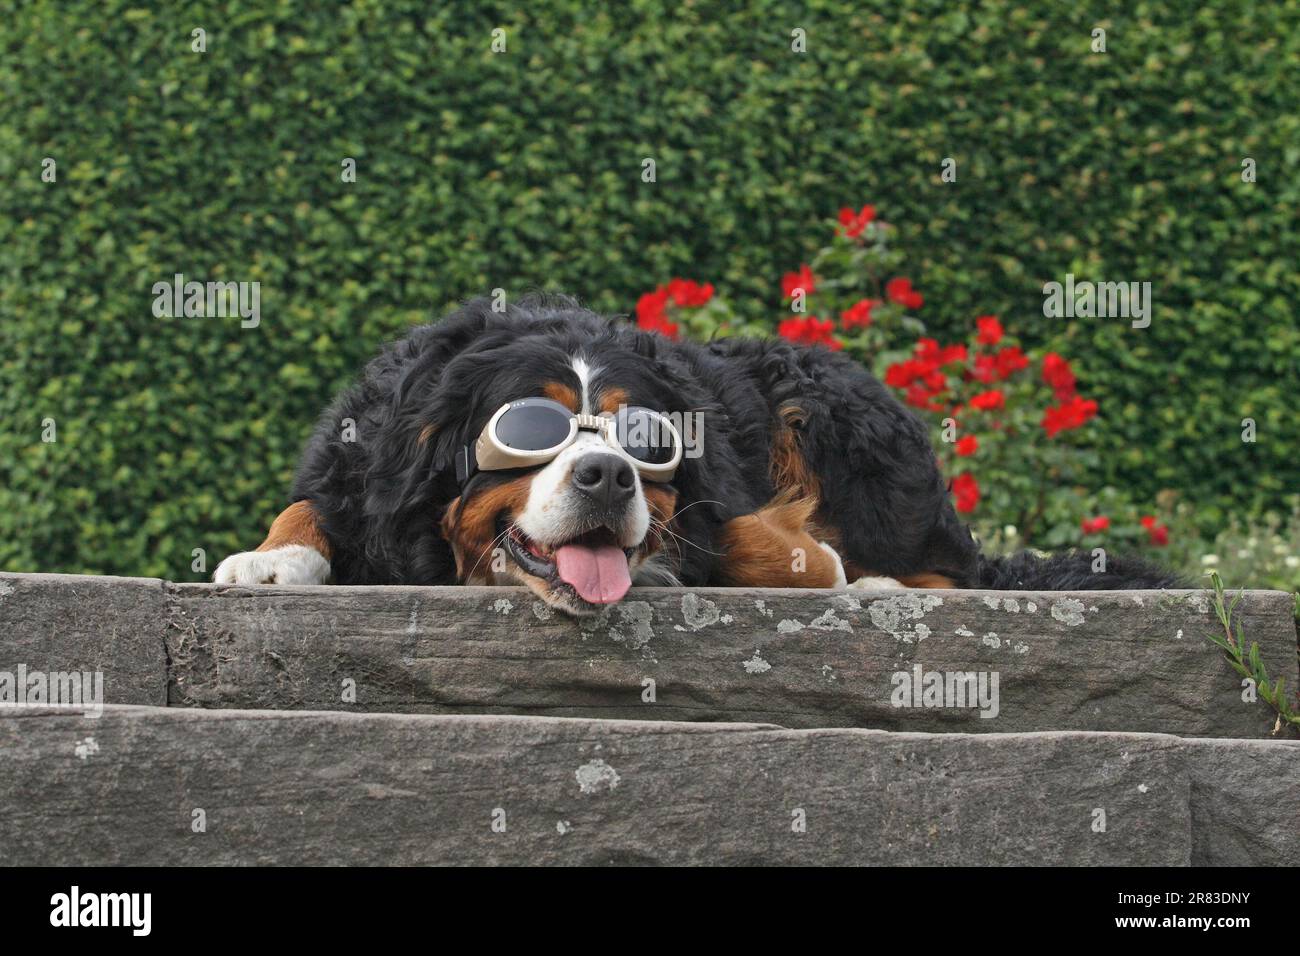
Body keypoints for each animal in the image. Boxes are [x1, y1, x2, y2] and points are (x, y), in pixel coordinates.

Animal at [213, 295, 1180, 616]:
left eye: (644, 440)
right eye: (531, 430)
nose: (607, 475)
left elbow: (737, 533)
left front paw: (810, 561)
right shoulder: (358, 461)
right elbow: (311, 503)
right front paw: (271, 558)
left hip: (826, 408)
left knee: (951, 572)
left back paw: (878, 579)